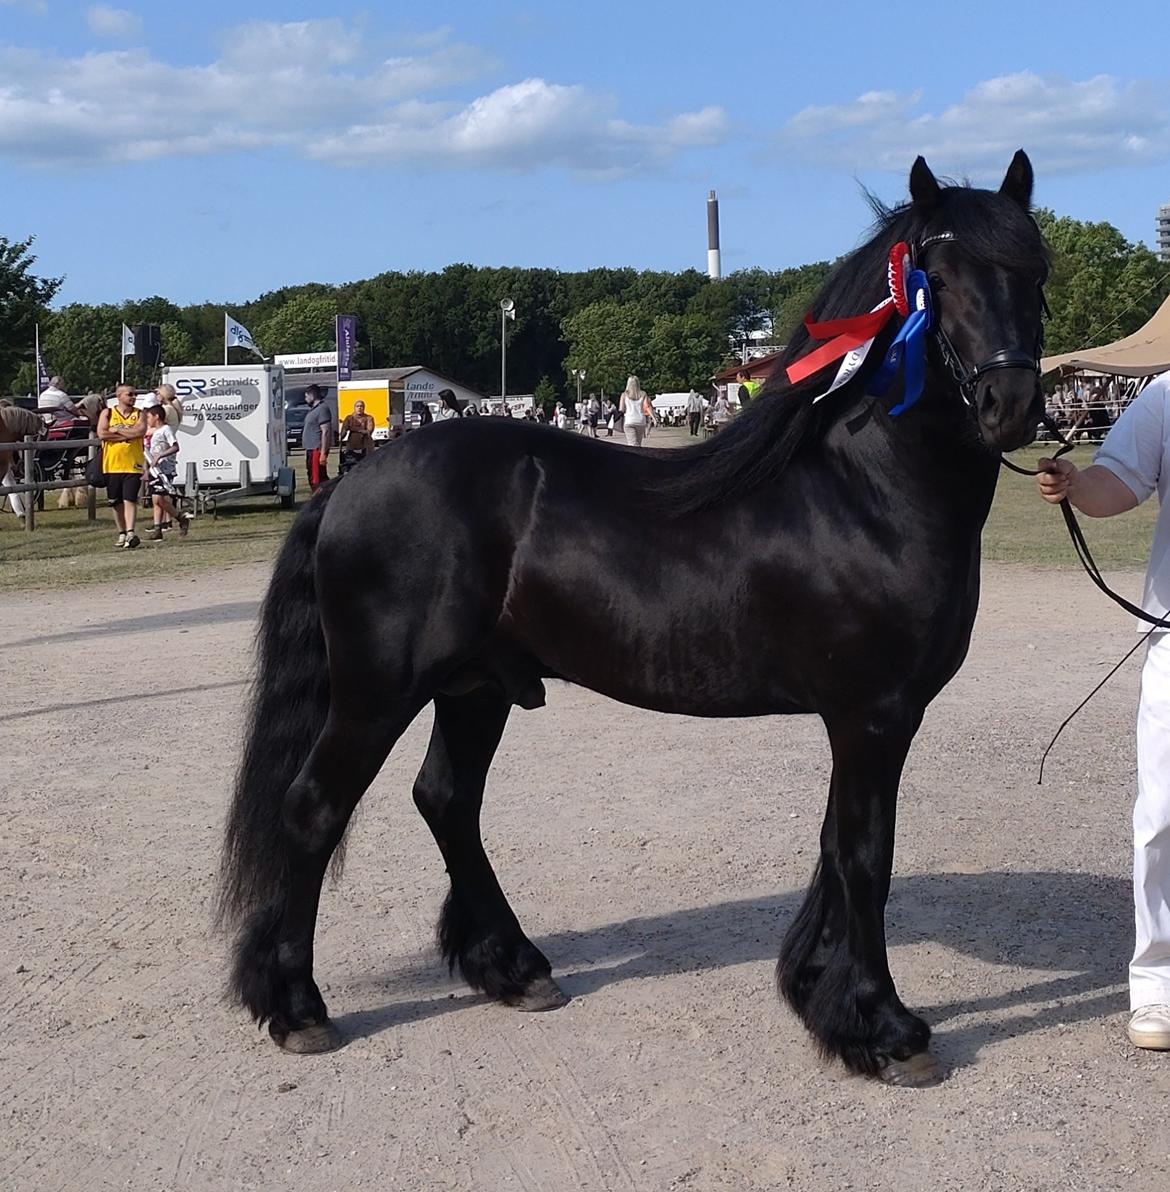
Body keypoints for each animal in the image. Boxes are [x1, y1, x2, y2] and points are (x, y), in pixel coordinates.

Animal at [218, 151, 1048, 1086]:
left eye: (1036, 269)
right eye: (940, 276)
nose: (1012, 403)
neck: (861, 493)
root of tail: (352, 481)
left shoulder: (861, 720)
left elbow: (835, 847)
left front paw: (817, 992)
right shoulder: (874, 715)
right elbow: (866, 856)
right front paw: (883, 1025)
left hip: (476, 688)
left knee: (446, 801)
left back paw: (514, 967)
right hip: (374, 695)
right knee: (314, 809)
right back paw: (298, 1007)